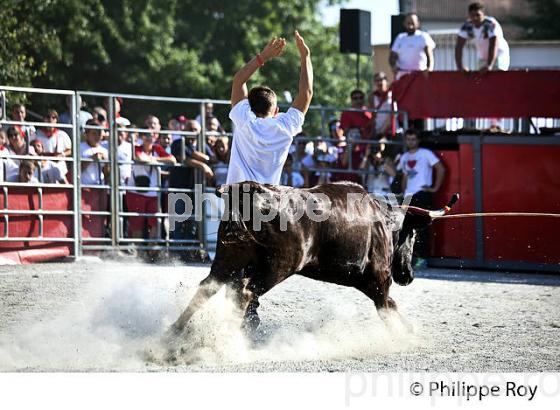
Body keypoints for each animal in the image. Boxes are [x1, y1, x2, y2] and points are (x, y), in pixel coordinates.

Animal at [172, 182, 460, 334]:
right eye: (413, 235)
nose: (408, 275)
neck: (381, 220)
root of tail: (251, 191)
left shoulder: (371, 284)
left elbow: (391, 306)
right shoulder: (379, 280)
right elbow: (389, 308)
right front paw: (410, 335)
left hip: (227, 259)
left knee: (208, 287)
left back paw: (173, 332)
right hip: (277, 266)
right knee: (244, 292)